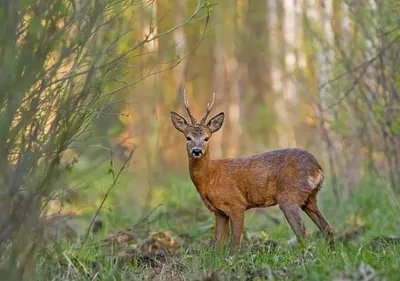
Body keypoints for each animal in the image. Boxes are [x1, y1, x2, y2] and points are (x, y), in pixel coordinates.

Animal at [169, 91, 334, 246]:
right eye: (188, 137)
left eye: (206, 138)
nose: (197, 151)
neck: (209, 177)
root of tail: (318, 168)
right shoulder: (219, 212)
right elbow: (218, 245)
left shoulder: (237, 204)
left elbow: (235, 244)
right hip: (309, 198)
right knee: (327, 228)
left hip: (289, 195)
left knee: (304, 233)